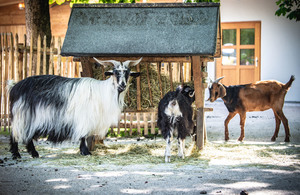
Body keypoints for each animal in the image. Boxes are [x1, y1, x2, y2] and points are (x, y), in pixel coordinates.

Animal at [7, 57, 142, 159]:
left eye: (128, 73)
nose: (122, 85)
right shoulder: (84, 118)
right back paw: (16, 154)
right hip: (22, 115)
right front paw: (85, 151)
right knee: (15, 133)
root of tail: (14, 88)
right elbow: (83, 135)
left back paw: (34, 153)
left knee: (26, 136)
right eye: (115, 72)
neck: (103, 93)